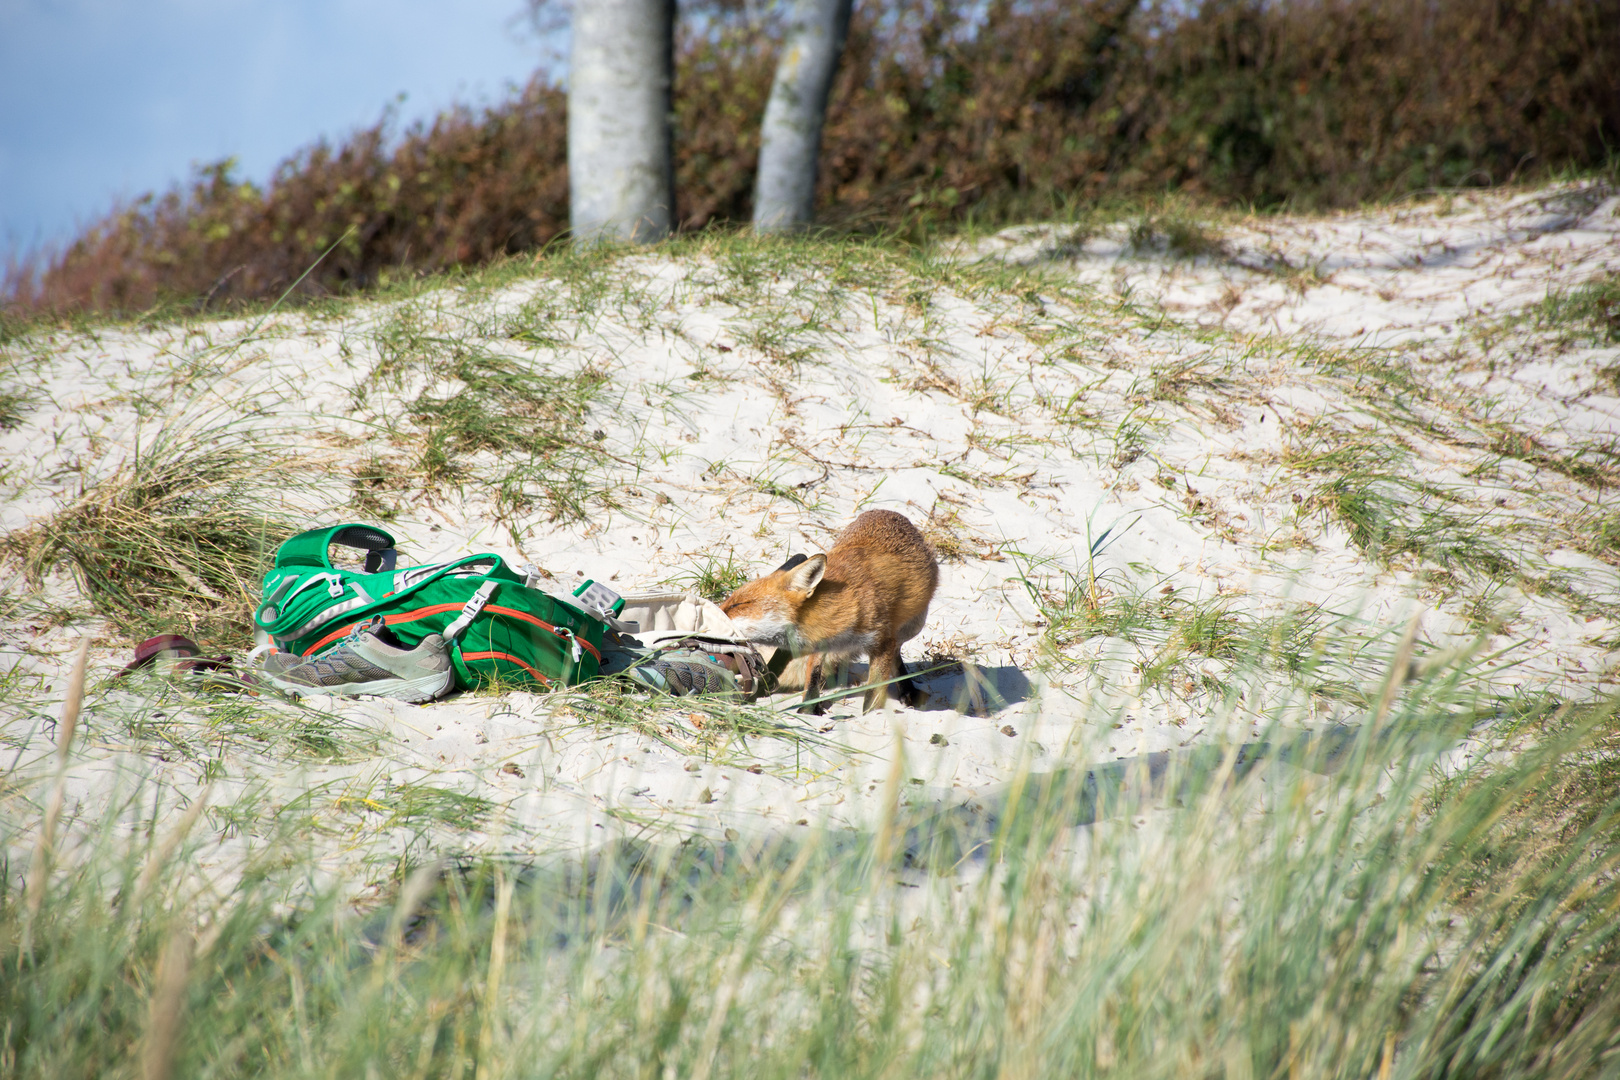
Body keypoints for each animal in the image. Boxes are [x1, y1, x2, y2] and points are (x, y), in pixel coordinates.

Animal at [719, 511, 939, 712]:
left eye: (738, 605)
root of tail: (890, 513)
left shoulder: (881, 644)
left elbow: (873, 695)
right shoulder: (819, 644)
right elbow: (812, 678)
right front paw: (808, 710)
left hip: (913, 627)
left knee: (896, 652)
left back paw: (907, 689)